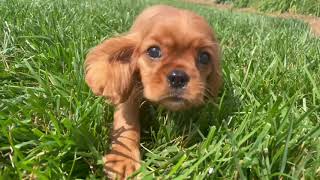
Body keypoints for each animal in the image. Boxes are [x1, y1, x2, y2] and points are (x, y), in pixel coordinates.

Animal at [84, 4, 221, 179]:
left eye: (204, 57)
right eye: (154, 51)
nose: (178, 77)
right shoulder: (131, 92)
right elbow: (127, 124)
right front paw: (124, 161)